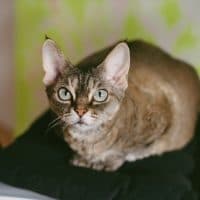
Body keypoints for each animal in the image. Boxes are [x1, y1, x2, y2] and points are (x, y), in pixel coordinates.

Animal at [41, 38, 199, 171]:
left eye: (100, 95)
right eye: (64, 93)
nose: (80, 111)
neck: (88, 139)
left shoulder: (167, 108)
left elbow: (130, 150)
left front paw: (108, 160)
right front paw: (85, 158)